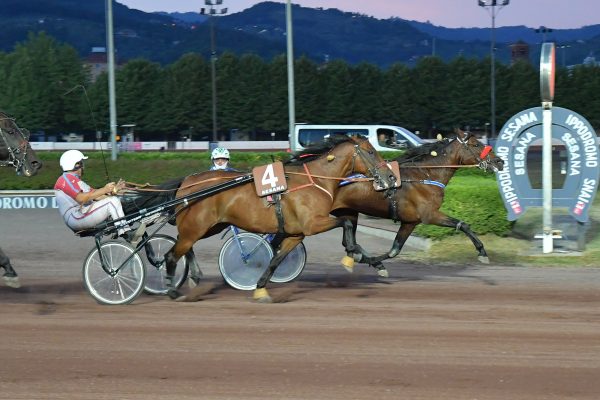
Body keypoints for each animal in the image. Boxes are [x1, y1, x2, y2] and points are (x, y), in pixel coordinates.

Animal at [166, 136, 396, 302]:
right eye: (371, 152)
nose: (391, 177)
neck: (316, 180)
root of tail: (187, 182)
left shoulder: (296, 234)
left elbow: (275, 261)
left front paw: (260, 290)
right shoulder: (312, 223)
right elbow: (346, 223)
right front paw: (351, 256)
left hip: (209, 226)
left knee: (183, 246)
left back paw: (193, 276)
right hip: (196, 227)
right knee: (172, 254)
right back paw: (173, 291)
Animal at [330, 129, 504, 276]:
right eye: (476, 144)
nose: (499, 161)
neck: (424, 175)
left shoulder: (410, 222)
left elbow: (394, 250)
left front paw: (375, 263)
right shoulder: (429, 215)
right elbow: (463, 225)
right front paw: (482, 252)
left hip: (349, 211)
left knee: (348, 241)